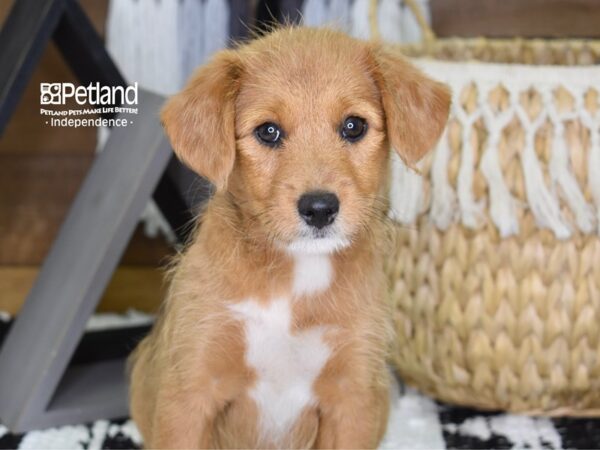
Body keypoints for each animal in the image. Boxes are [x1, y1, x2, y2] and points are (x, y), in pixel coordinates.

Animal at [131, 26, 450, 448]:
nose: (319, 208)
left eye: (354, 126)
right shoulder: (191, 393)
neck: (295, 278)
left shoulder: (352, 399)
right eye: (268, 131)